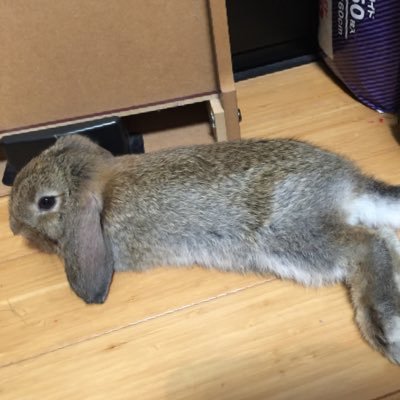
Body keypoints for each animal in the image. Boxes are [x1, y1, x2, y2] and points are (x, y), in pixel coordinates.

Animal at [8, 134, 400, 365]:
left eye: (46, 202)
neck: (103, 190)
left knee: (368, 244)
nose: (13, 226)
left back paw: (383, 327)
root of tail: (348, 186)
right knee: (385, 235)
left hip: (288, 236)